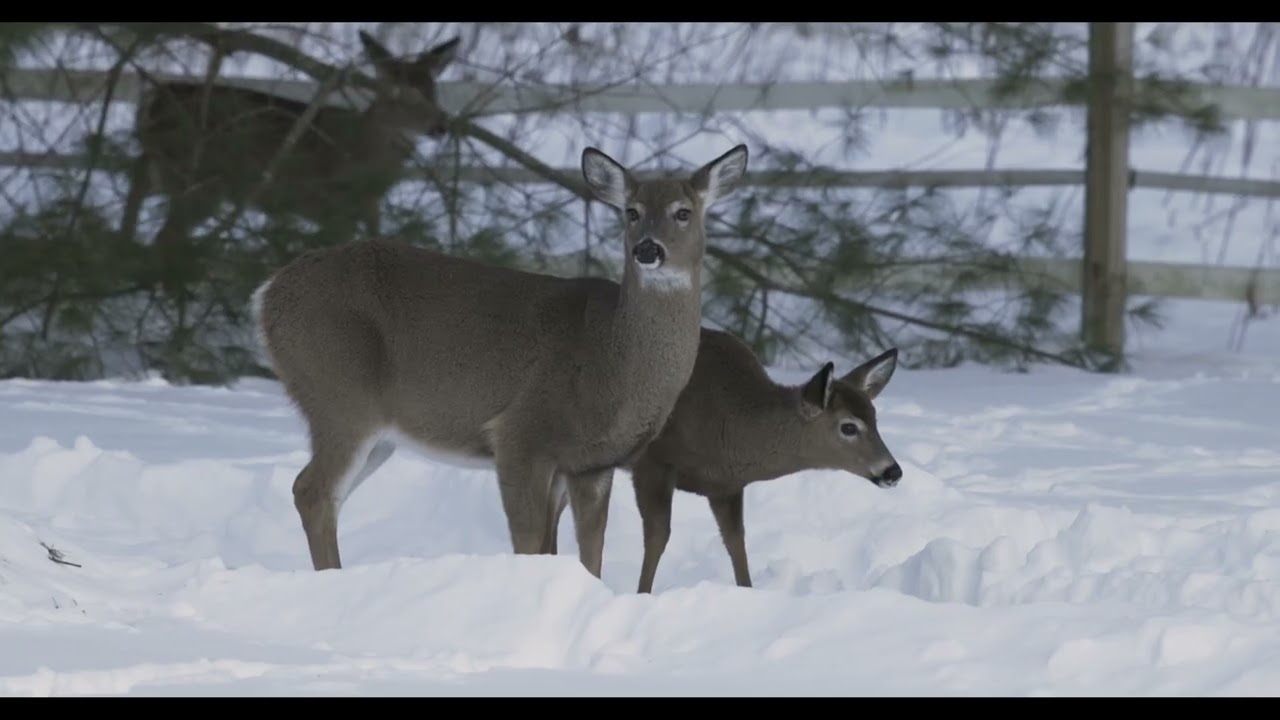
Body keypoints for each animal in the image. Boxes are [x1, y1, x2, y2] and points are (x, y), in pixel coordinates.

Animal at [118, 30, 461, 254]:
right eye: (399, 92)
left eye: (434, 89)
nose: (441, 124)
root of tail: (153, 99)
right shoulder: (333, 203)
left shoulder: (367, 208)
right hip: (199, 177)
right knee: (163, 238)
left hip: (168, 167)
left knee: (138, 187)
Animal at [249, 143, 751, 576]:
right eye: (631, 211)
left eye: (683, 212)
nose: (647, 249)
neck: (611, 360)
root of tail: (266, 294)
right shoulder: (519, 434)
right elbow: (529, 543)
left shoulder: (590, 464)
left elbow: (586, 552)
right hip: (339, 394)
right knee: (312, 491)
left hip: (376, 432)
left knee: (323, 495)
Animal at [543, 327, 902, 593]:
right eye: (848, 427)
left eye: (875, 418)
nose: (893, 471)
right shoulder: (654, 463)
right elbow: (658, 537)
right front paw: (642, 593)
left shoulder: (726, 486)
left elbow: (736, 541)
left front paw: (747, 591)